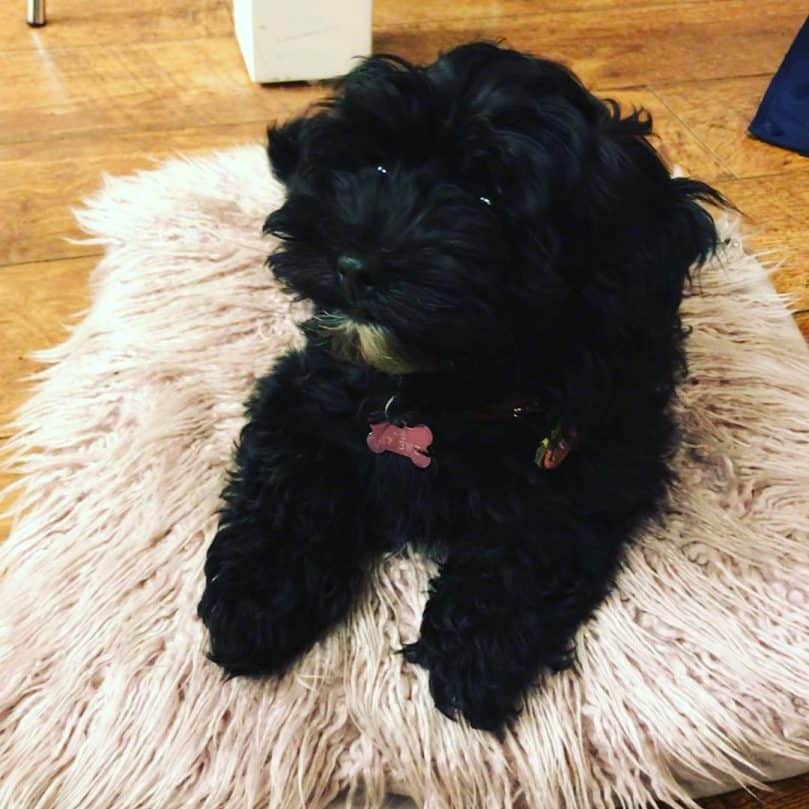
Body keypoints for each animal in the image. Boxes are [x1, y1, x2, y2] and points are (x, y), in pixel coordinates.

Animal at [199, 41, 724, 728]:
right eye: (377, 165)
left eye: (489, 199)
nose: (355, 266)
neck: (444, 388)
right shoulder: (302, 394)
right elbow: (288, 486)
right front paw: (253, 601)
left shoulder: (600, 450)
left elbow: (528, 540)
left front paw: (473, 654)